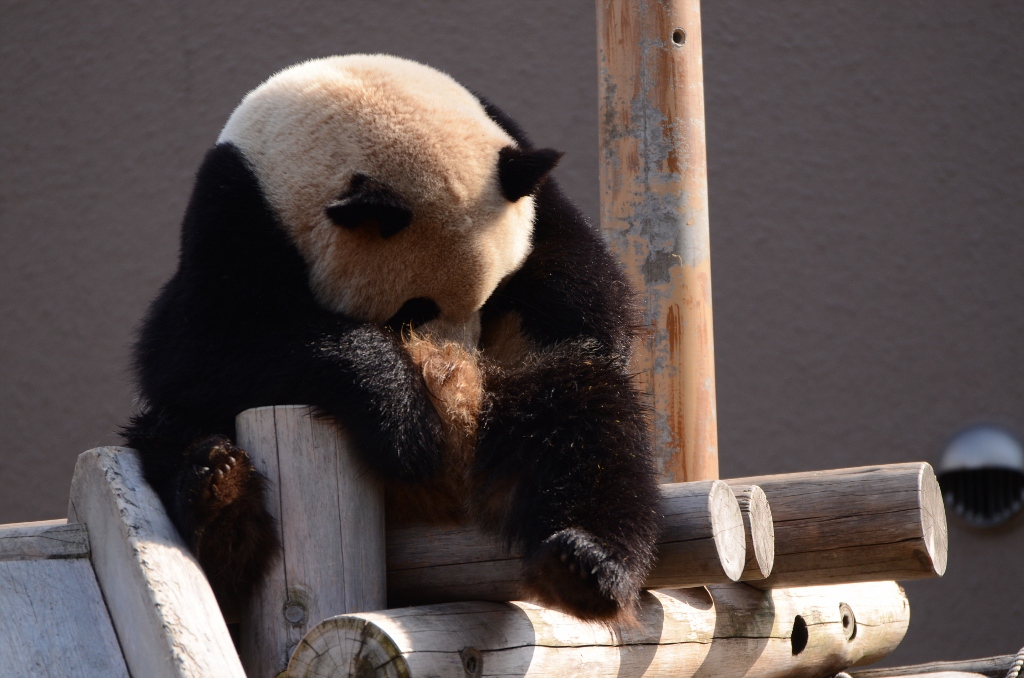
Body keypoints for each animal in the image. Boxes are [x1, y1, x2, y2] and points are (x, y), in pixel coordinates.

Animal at [123, 55, 659, 622]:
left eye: (495, 292)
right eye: (416, 308)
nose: (459, 368)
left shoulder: (521, 163)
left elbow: (581, 275)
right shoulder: (232, 218)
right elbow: (193, 349)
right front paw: (404, 423)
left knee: (587, 426)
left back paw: (585, 562)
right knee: (168, 436)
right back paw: (220, 499)